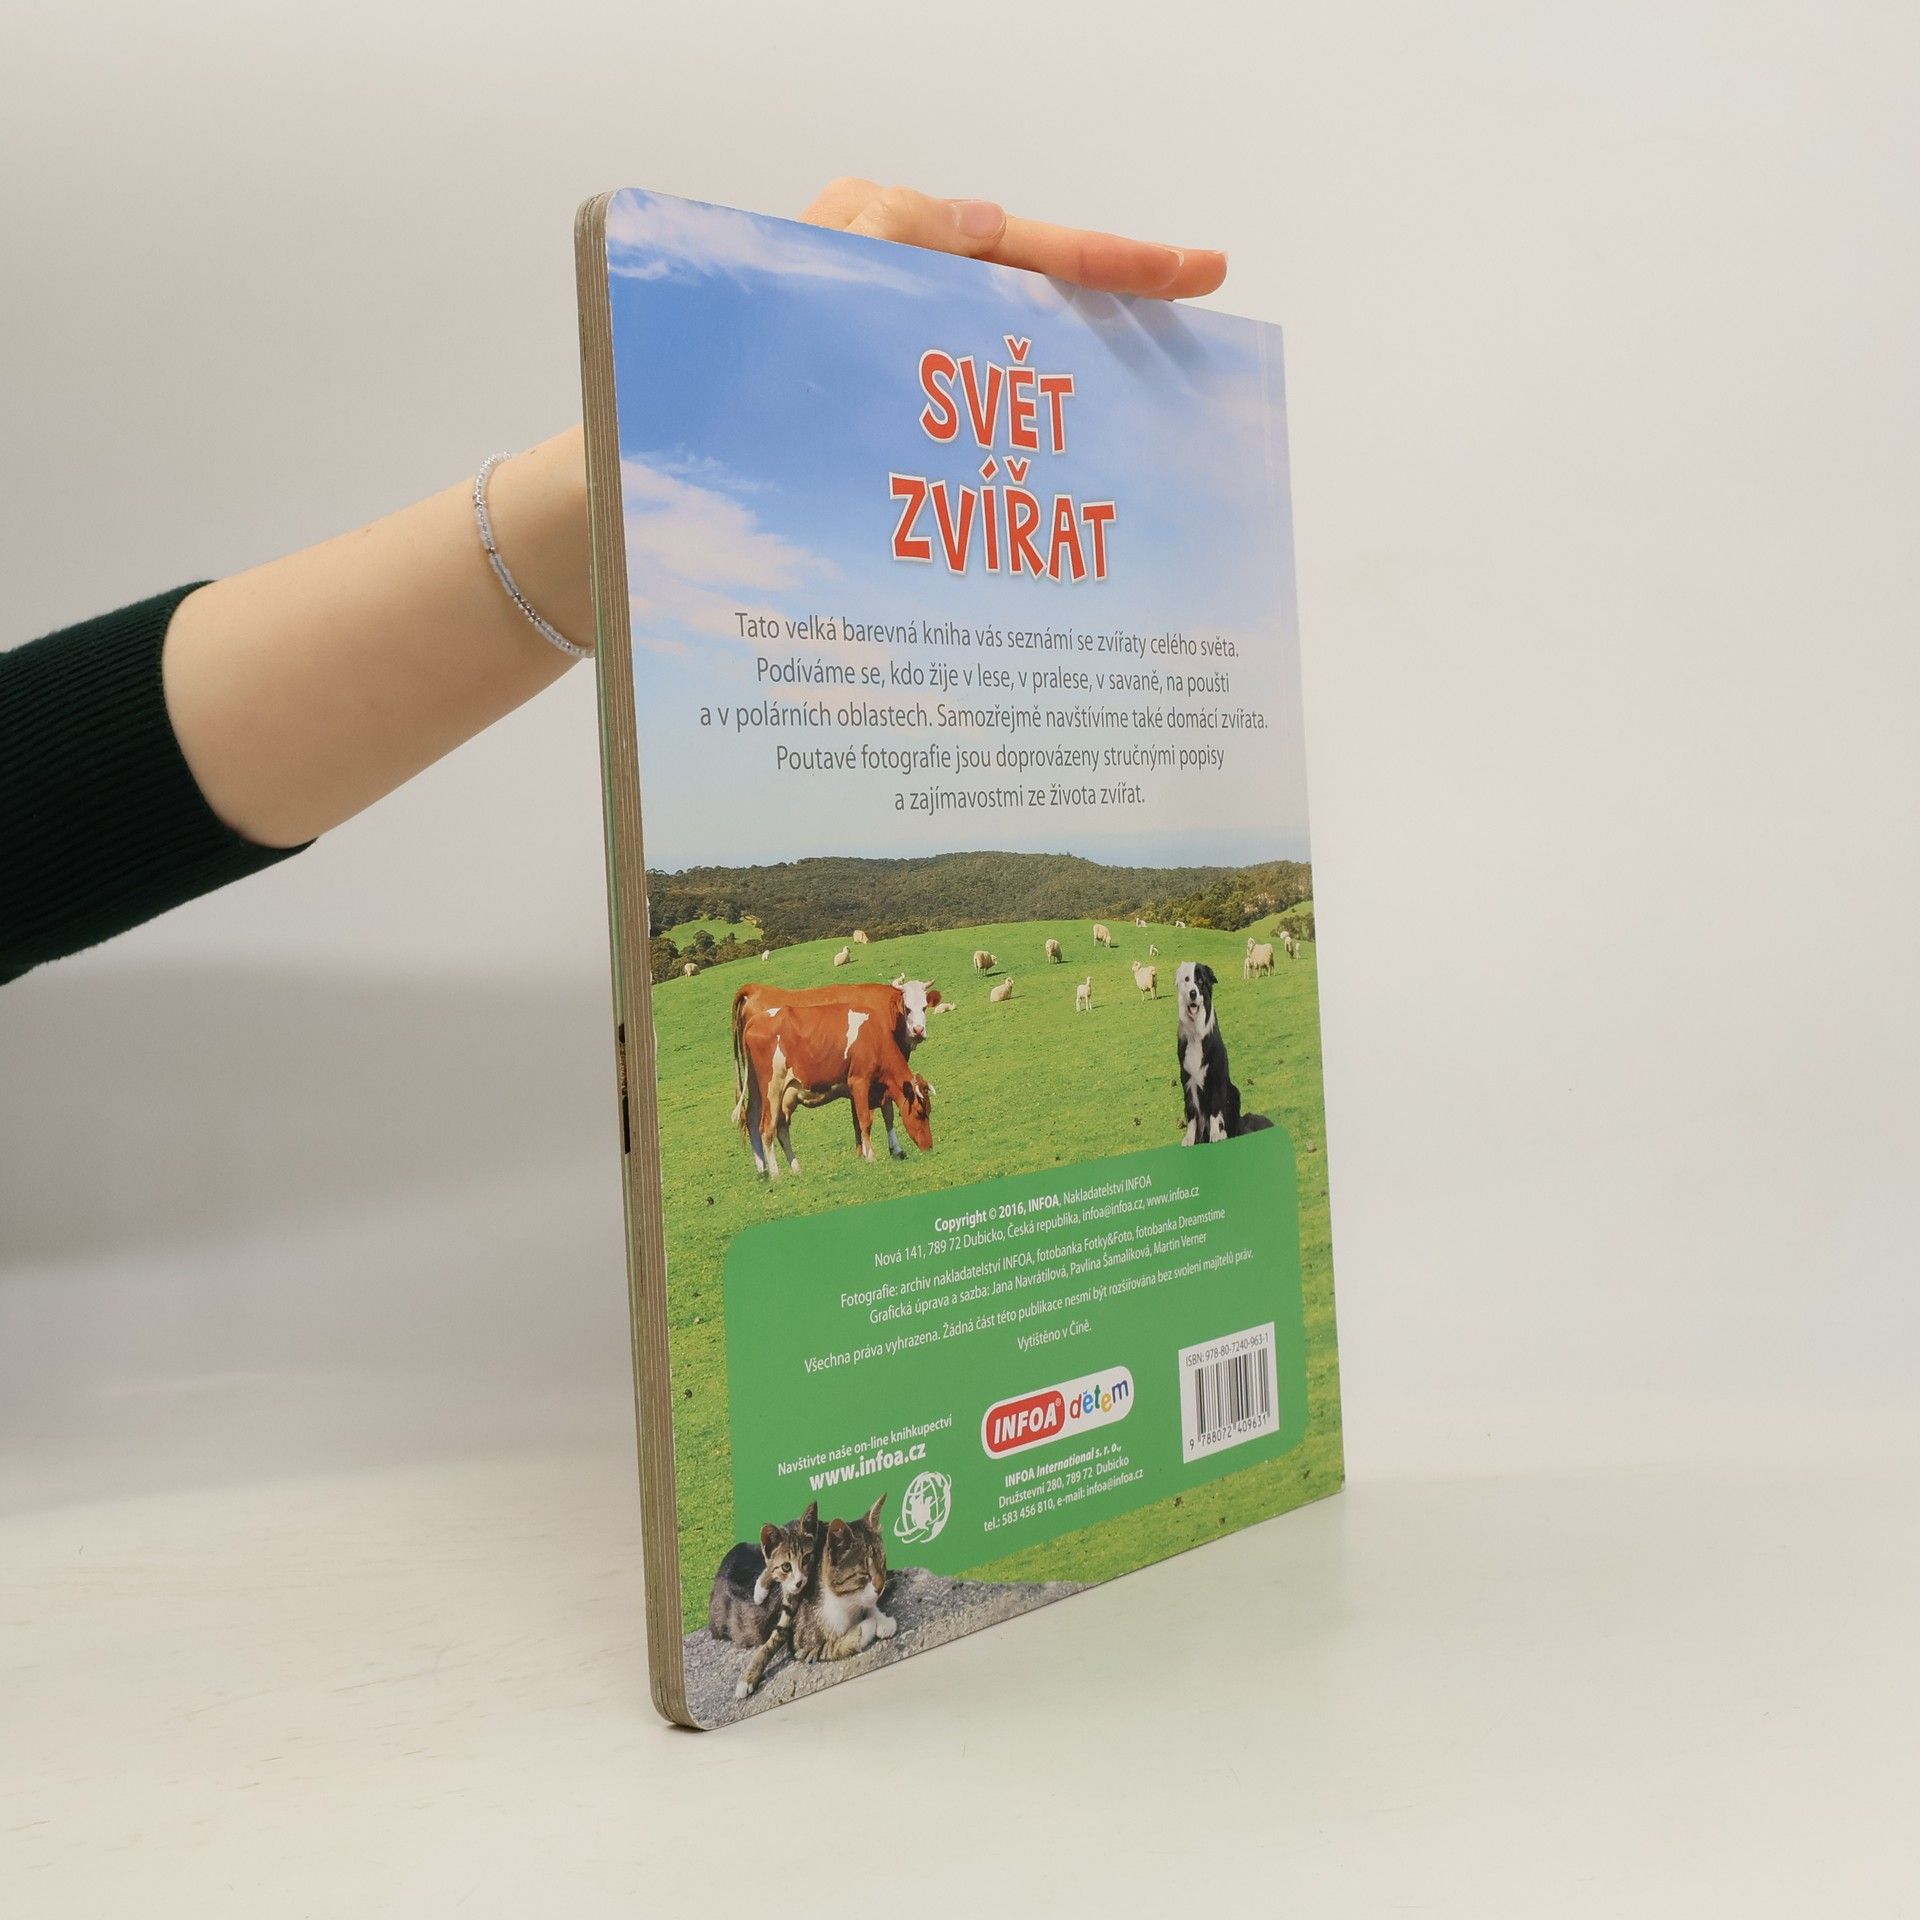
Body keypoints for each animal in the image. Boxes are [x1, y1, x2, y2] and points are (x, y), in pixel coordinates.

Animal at [730, 983, 936, 1177]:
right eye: (919, 1113)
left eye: (925, 1007)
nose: (929, 1147)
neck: (875, 1034)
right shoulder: (859, 1082)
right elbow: (865, 1119)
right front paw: (870, 1156)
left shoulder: (877, 1088)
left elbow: (885, 1114)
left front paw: (886, 1151)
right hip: (771, 1089)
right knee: (766, 1127)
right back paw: (774, 1173)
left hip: (769, 1090)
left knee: (770, 1123)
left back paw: (788, 1169)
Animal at [792, 1495, 897, 1664]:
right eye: (864, 1573)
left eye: (882, 1564)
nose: (880, 1587)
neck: (847, 1603)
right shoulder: (803, 1648)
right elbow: (829, 1647)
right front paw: (865, 1627)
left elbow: (869, 1604)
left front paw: (882, 1620)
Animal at [1175, 962, 1272, 1143]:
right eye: (1187, 980)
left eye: (1201, 981)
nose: (1193, 993)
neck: (1196, 1033)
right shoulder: (1187, 1079)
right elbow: (1191, 1113)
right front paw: (1190, 1139)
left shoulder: (1216, 1076)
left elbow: (1215, 1108)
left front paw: (1216, 1135)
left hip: (1234, 1091)